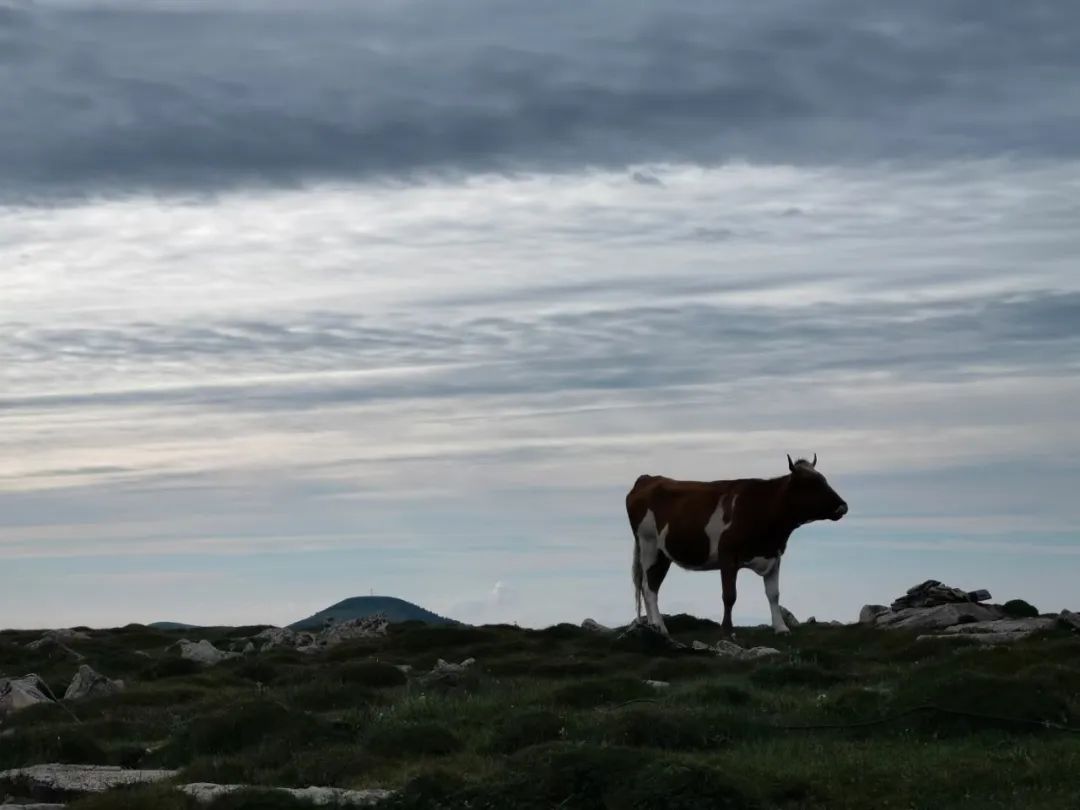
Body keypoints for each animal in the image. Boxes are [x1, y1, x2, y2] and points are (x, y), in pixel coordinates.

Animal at [630, 457, 846, 639]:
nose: (843, 506)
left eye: (824, 480)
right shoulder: (728, 556)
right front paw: (727, 631)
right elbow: (729, 596)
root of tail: (647, 478)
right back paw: (660, 627)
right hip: (648, 544)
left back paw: (652, 626)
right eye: (811, 484)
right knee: (649, 588)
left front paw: (781, 628)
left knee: (648, 586)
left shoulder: (774, 556)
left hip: (662, 553)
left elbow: (774, 595)